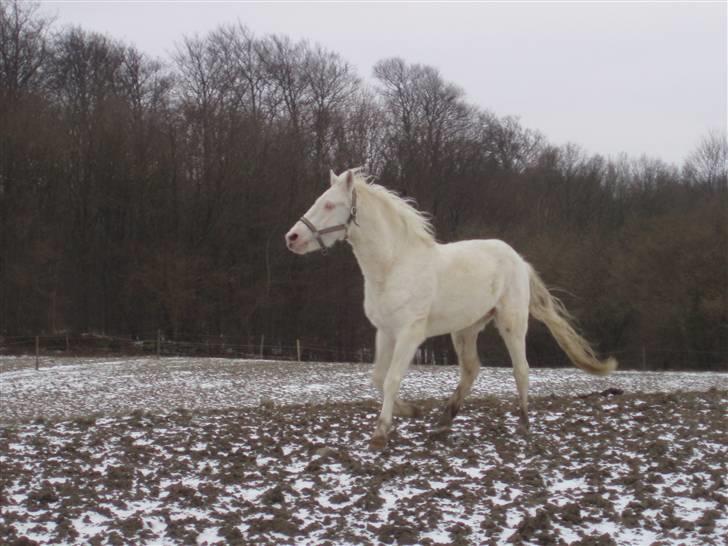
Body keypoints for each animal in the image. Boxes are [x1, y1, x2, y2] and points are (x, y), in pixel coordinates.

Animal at [284, 168, 616, 448]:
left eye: (330, 205)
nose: (292, 238)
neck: (393, 266)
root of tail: (519, 260)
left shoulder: (410, 333)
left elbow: (392, 378)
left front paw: (380, 434)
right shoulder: (385, 332)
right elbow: (378, 377)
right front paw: (411, 411)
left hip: (511, 322)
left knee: (521, 370)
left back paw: (523, 425)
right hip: (466, 328)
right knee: (471, 370)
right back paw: (443, 422)